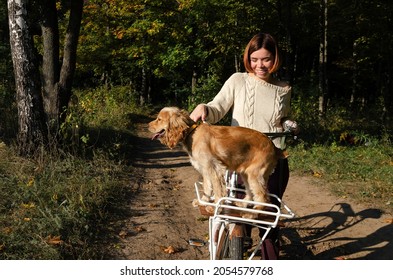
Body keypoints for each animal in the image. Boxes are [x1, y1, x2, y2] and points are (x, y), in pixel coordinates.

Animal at [147, 106, 282, 217]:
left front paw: (215, 208)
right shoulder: (206, 169)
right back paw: (242, 205)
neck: (191, 133)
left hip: (255, 174)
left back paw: (253, 214)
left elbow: (218, 191)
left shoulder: (214, 168)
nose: (148, 126)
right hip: (246, 174)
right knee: (251, 192)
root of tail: (275, 148)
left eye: (159, 119)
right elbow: (207, 187)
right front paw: (203, 201)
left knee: (263, 197)